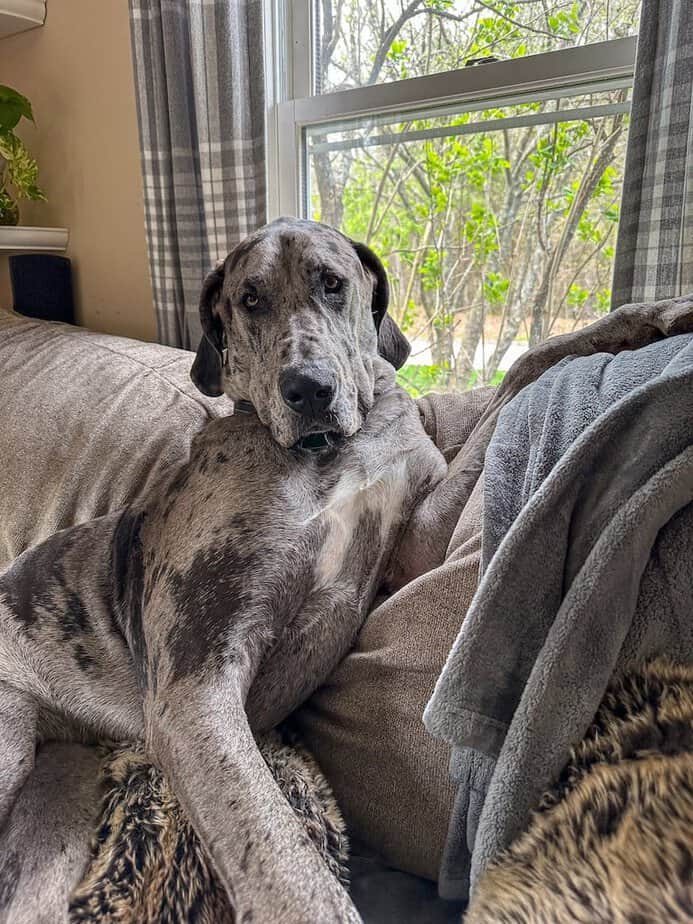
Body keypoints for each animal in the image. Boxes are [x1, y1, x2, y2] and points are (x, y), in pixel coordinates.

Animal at [0, 218, 454, 924]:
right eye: (250, 299)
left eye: (333, 283)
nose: (308, 389)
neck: (322, 454)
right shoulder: (196, 686)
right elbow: (284, 862)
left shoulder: (416, 505)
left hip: (57, 789)